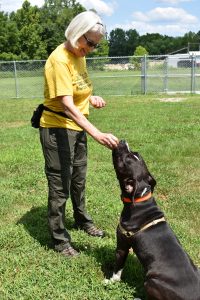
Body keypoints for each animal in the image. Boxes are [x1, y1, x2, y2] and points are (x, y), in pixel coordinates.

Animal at [105, 141, 199, 300]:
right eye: (134, 154)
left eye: (127, 159)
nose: (123, 141)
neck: (140, 197)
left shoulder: (123, 245)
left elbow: (118, 267)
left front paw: (110, 280)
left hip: (151, 282)